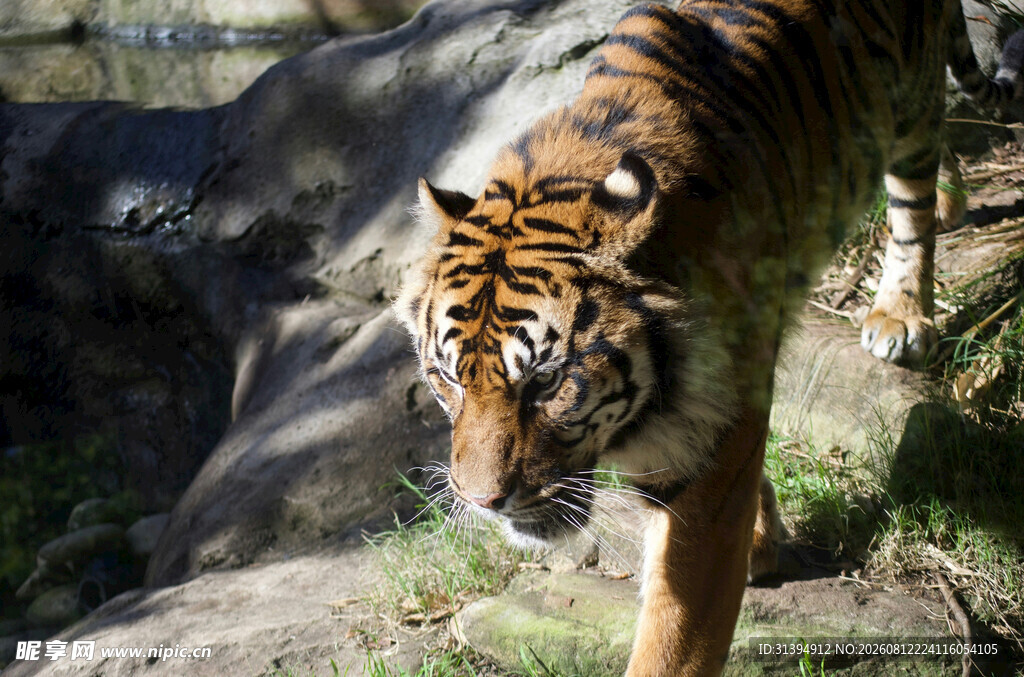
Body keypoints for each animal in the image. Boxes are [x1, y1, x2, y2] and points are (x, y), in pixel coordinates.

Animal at [395, 0, 1024, 674]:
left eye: (547, 381)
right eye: (447, 379)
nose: (483, 502)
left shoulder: (706, 451)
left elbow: (674, 636)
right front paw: (763, 540)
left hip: (909, 96)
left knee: (912, 193)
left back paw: (902, 313)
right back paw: (951, 205)